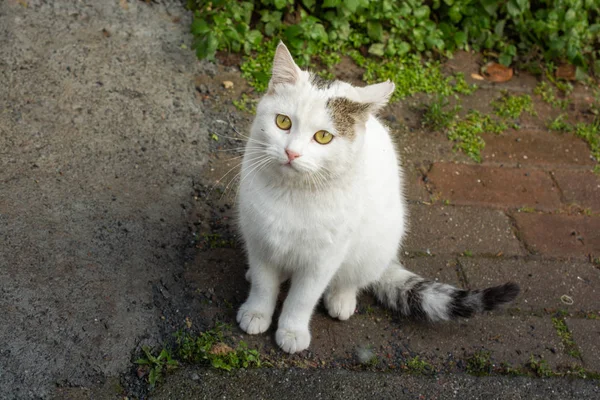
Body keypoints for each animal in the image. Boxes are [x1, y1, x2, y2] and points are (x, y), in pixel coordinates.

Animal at [236, 41, 520, 354]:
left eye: (323, 137)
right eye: (282, 121)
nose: (291, 153)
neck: (292, 194)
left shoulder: (324, 258)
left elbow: (302, 298)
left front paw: (292, 329)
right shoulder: (259, 239)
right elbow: (264, 285)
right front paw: (256, 312)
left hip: (375, 245)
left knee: (354, 279)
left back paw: (341, 299)